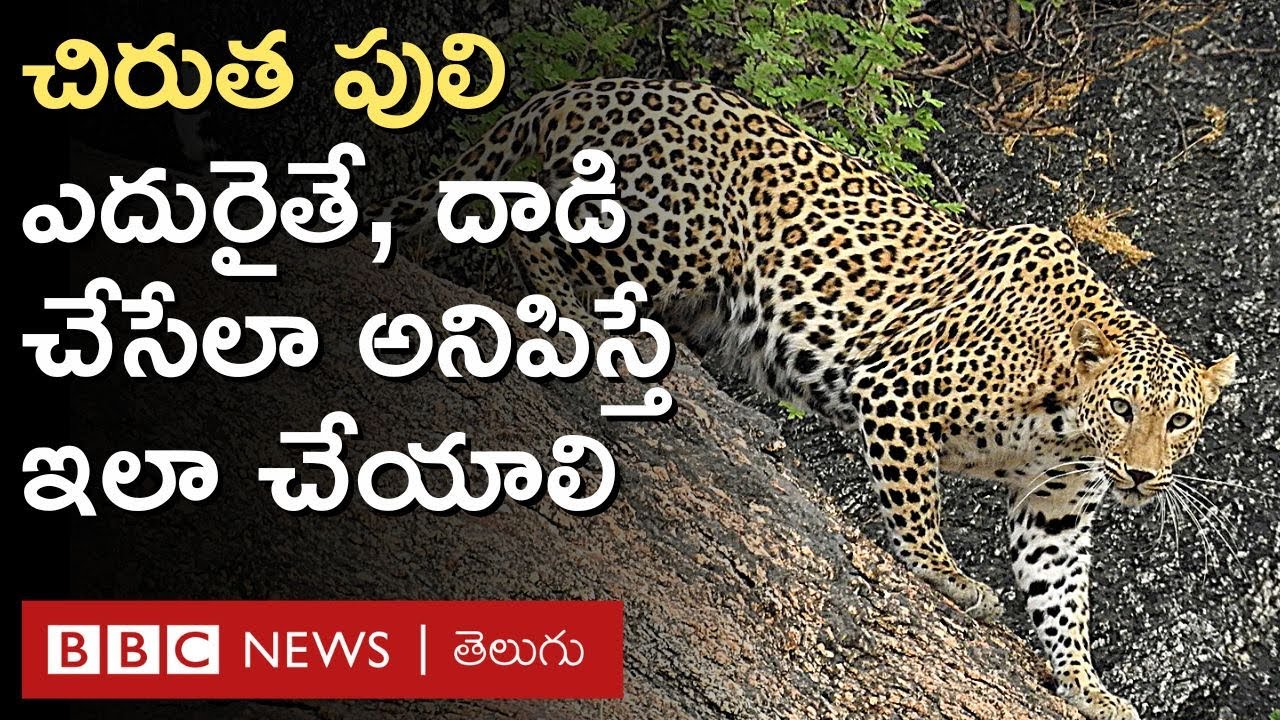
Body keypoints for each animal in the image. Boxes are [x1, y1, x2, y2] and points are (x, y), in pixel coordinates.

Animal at [368, 78, 1237, 720]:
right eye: (1124, 409)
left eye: (1180, 420)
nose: (1142, 476)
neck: (1066, 425)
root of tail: (593, 86)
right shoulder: (898, 395)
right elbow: (918, 513)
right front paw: (947, 579)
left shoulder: (1054, 508)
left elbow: (1065, 601)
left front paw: (1088, 687)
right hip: (681, 236)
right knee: (532, 229)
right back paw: (571, 312)